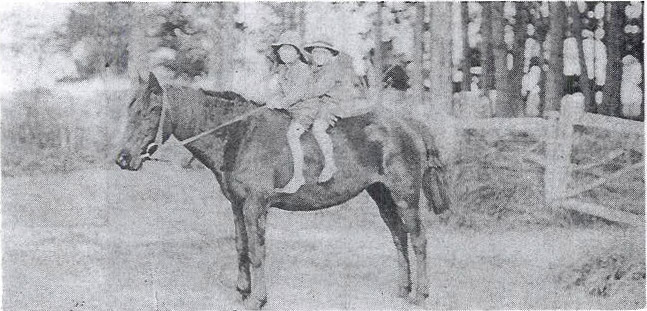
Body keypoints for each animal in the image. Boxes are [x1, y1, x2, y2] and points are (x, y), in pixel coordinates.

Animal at [116, 73, 450, 310]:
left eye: (152, 110)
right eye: (130, 109)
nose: (122, 159)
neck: (239, 136)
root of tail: (408, 122)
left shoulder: (255, 205)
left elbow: (257, 251)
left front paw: (257, 299)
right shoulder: (237, 205)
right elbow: (241, 246)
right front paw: (242, 292)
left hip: (405, 196)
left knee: (418, 239)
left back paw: (420, 295)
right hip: (381, 195)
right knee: (399, 236)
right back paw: (402, 290)